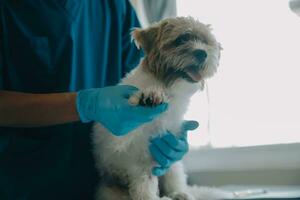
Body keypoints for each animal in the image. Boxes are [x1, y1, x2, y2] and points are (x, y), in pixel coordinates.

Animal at [92, 17, 226, 200]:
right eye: (182, 39)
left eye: (206, 42)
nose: (202, 53)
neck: (167, 89)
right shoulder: (114, 141)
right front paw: (147, 96)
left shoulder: (155, 154)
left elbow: (147, 180)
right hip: (108, 191)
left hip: (173, 167)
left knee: (174, 179)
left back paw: (179, 194)